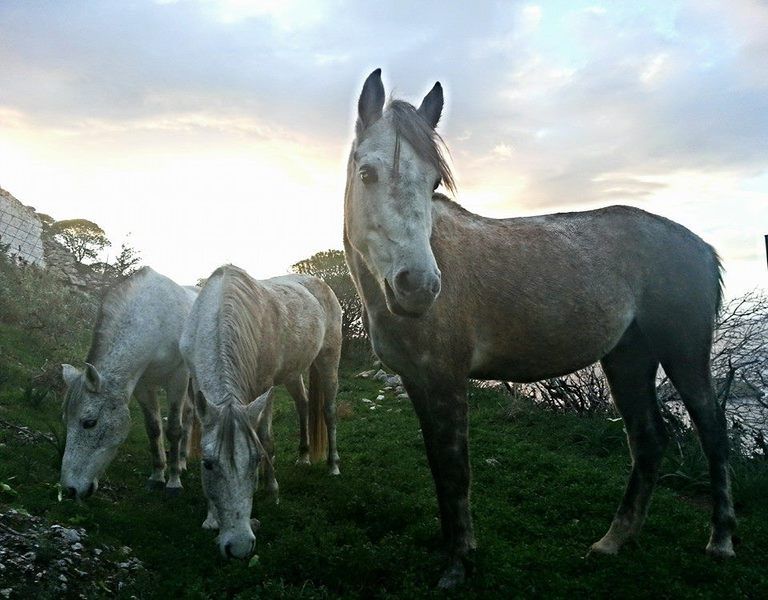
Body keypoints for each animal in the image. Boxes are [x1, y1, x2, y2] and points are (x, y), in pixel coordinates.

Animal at [60, 266, 198, 499]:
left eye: (89, 422)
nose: (70, 490)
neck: (155, 319)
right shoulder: (142, 385)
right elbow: (153, 429)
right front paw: (157, 476)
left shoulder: (177, 378)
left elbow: (173, 429)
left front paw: (173, 483)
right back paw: (180, 462)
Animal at [179, 264, 342, 558]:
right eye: (207, 464)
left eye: (255, 460)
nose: (239, 546)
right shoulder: (196, 382)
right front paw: (211, 518)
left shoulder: (265, 386)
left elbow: (266, 439)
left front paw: (272, 489)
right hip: (292, 372)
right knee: (303, 404)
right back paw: (303, 456)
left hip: (328, 360)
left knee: (329, 411)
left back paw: (333, 465)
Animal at [343, 69, 735, 588]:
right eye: (367, 173)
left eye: (432, 184)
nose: (419, 287)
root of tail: (701, 246)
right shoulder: (416, 380)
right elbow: (437, 468)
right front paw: (451, 549)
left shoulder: (446, 379)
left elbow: (455, 471)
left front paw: (458, 562)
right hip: (628, 357)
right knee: (648, 441)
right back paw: (613, 540)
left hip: (685, 354)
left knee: (713, 432)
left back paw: (721, 540)